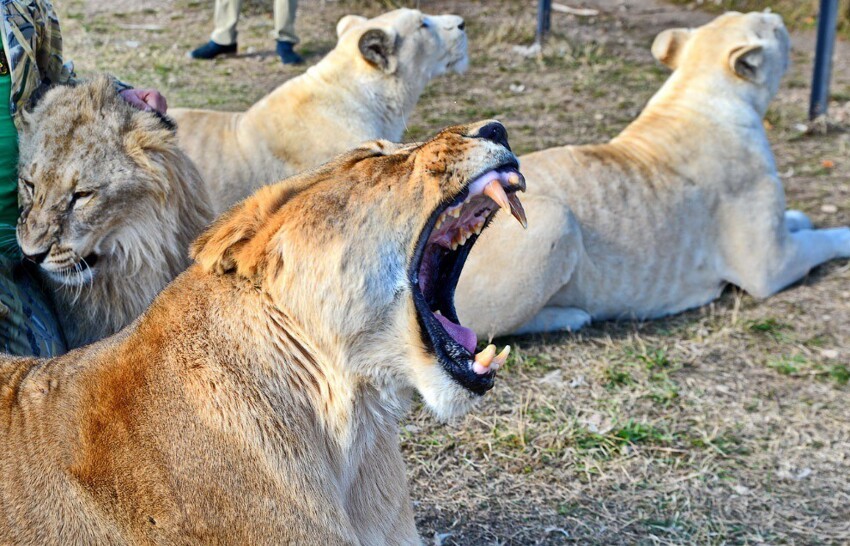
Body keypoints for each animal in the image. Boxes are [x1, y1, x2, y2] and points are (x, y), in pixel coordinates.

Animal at [458, 10, 848, 336]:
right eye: (773, 30)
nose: (776, 16)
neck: (696, 90)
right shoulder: (768, 265)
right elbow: (821, 241)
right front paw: (840, 234)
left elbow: (796, 223)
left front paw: (799, 217)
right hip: (557, 218)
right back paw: (572, 315)